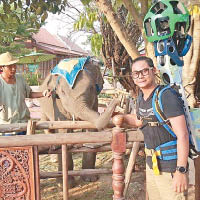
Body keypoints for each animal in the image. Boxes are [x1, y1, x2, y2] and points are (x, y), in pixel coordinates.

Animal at [38, 57, 119, 188]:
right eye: (62, 92)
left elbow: (90, 130)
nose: (116, 99)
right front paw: (65, 185)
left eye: (91, 88)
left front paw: (91, 179)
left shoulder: (94, 100)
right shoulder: (56, 103)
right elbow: (63, 132)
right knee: (48, 127)